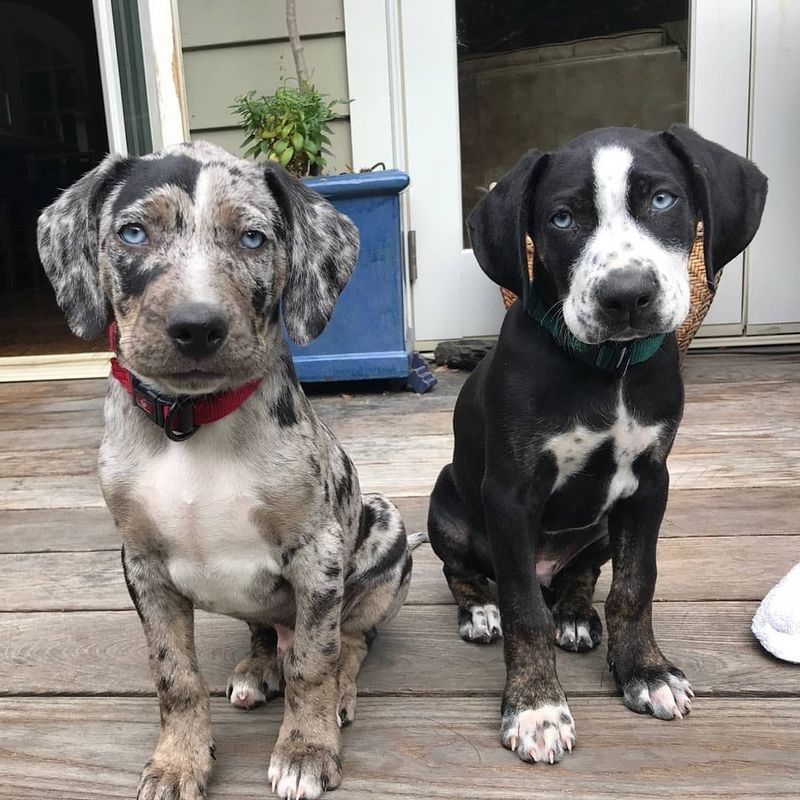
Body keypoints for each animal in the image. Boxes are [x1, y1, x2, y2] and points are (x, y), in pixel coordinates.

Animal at [36, 144, 418, 800]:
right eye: (132, 233)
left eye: (253, 239)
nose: (196, 327)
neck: (190, 423)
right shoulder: (141, 563)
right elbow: (175, 675)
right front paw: (177, 762)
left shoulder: (318, 553)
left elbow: (313, 663)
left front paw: (306, 750)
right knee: (266, 631)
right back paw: (257, 666)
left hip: (384, 534)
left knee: (350, 640)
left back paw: (338, 689)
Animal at [428, 123, 764, 764]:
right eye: (562, 218)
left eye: (663, 199)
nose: (626, 296)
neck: (608, 369)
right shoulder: (511, 494)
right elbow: (523, 609)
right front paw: (536, 706)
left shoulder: (650, 483)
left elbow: (636, 585)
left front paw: (646, 672)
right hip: (446, 508)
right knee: (470, 572)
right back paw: (479, 608)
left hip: (603, 527)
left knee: (580, 574)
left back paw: (577, 614)